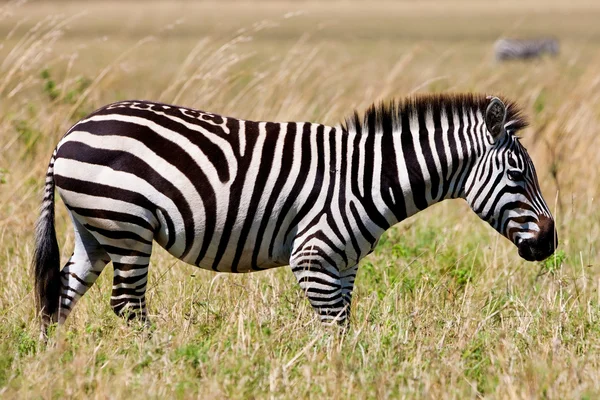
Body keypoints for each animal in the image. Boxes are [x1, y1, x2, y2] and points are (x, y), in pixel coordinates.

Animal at [31, 93, 556, 338]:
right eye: (517, 174)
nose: (550, 243)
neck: (368, 178)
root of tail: (69, 134)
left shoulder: (344, 264)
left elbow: (342, 326)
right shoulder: (312, 257)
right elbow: (335, 329)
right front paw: (340, 378)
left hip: (96, 230)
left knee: (60, 293)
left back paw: (52, 363)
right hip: (127, 227)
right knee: (128, 305)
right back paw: (157, 362)